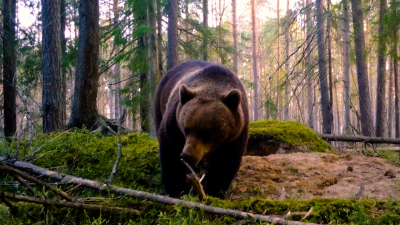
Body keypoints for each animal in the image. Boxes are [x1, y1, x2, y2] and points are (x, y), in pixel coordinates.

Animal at [155, 59, 248, 199]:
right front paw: (178, 189)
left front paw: (214, 191)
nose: (187, 155)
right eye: (186, 129)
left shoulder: (236, 134)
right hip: (159, 100)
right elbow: (170, 150)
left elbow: (226, 162)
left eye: (207, 133)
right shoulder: (174, 120)